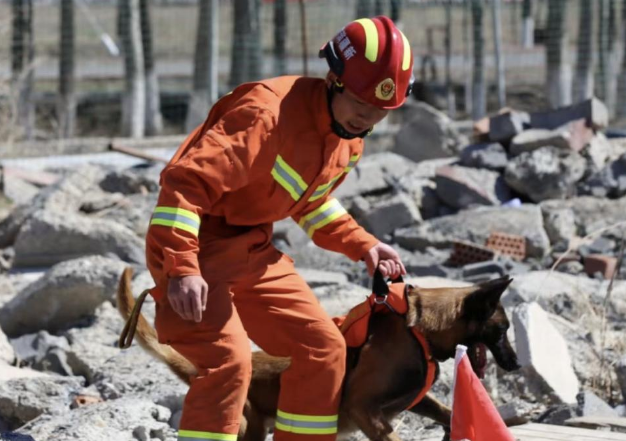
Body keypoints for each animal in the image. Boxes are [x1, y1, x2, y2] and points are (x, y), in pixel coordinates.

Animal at [117, 268, 516, 440]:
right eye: (503, 329)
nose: (514, 364)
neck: (417, 328)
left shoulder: (415, 400)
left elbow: (448, 413)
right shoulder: (366, 411)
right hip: (243, 426)